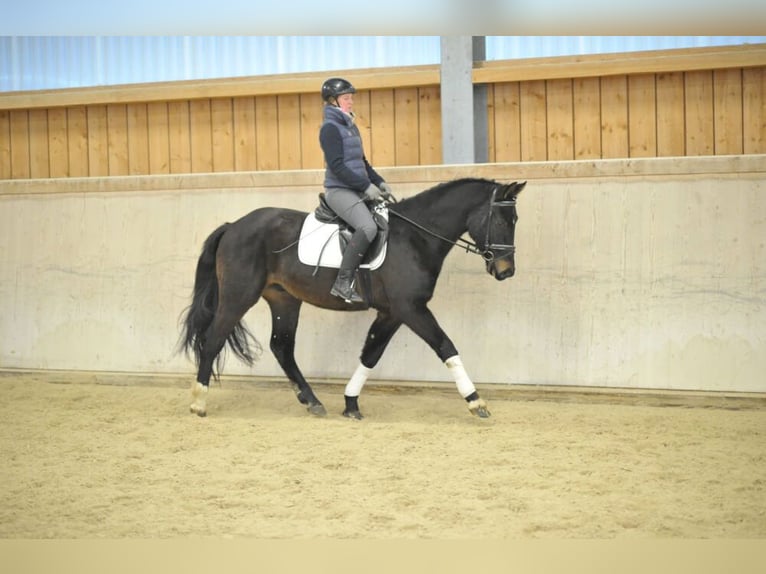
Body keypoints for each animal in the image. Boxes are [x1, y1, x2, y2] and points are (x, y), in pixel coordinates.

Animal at [181, 178, 528, 420]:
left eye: (515, 221)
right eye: (501, 221)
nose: (506, 271)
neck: (415, 237)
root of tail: (233, 226)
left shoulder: (392, 313)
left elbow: (371, 354)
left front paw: (350, 403)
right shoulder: (411, 308)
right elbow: (446, 346)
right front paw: (476, 401)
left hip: (284, 300)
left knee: (282, 347)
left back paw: (312, 401)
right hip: (239, 295)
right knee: (213, 339)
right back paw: (198, 403)